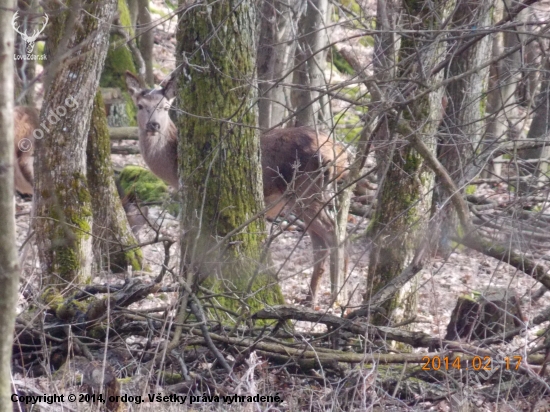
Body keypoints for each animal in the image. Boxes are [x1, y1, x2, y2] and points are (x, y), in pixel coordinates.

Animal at [125, 71, 350, 302]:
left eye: (165, 106)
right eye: (140, 105)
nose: (153, 125)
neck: (174, 168)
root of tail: (341, 155)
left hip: (306, 188)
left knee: (333, 232)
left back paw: (335, 297)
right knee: (321, 240)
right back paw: (312, 297)